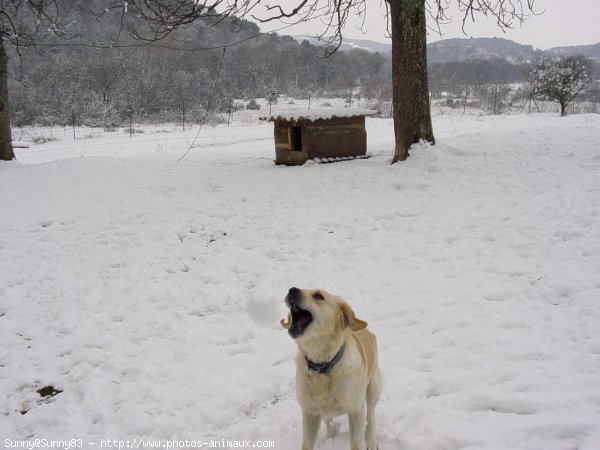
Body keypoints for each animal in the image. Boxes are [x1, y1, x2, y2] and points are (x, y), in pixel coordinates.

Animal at [282, 288, 384, 450]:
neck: (323, 365)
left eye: (318, 296)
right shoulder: (310, 412)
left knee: (371, 418)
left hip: (372, 389)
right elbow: (307, 444)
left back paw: (371, 440)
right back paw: (331, 434)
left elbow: (357, 442)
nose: (292, 290)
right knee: (328, 421)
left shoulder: (356, 409)